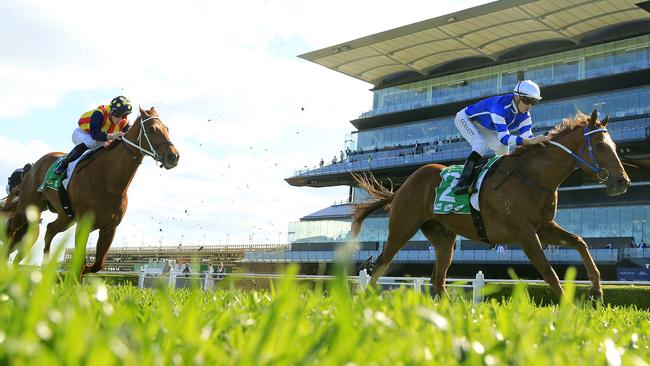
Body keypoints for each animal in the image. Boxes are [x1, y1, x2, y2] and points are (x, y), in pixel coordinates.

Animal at [1, 106, 178, 274]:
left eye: (167, 129)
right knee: (14, 230)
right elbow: (81, 261)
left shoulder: (109, 228)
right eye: (152, 129)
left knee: (49, 230)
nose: (174, 156)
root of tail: (34, 167)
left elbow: (96, 265)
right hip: (27, 208)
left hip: (65, 216)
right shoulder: (83, 225)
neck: (109, 183)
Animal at [352, 109, 632, 300]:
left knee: (438, 279)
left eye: (615, 145)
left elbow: (580, 242)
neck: (531, 178)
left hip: (443, 237)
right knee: (380, 264)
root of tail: (403, 186)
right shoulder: (524, 232)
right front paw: (568, 308)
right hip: (402, 228)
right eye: (599, 145)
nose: (623, 181)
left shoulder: (544, 227)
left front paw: (596, 290)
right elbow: (547, 270)